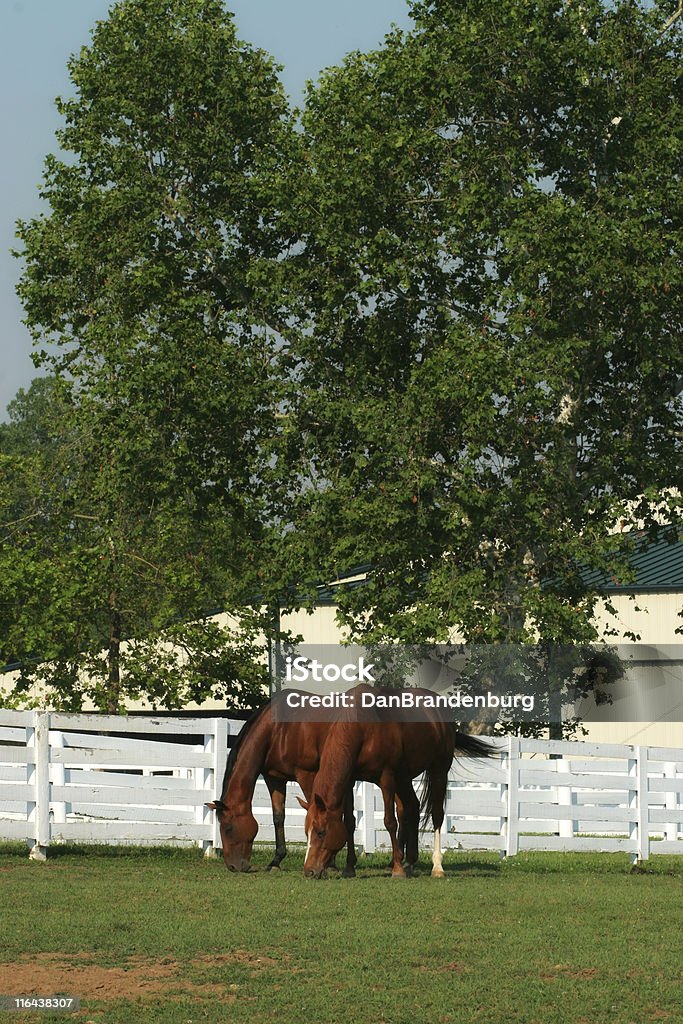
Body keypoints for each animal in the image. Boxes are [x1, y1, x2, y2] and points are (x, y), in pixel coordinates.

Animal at [299, 692, 491, 884]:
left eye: (321, 832)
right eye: (307, 832)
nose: (309, 871)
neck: (363, 729)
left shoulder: (387, 780)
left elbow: (390, 821)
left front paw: (397, 869)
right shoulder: (349, 781)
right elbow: (349, 823)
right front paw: (349, 868)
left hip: (438, 771)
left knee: (437, 815)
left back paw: (436, 866)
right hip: (404, 779)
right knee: (413, 807)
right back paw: (410, 862)